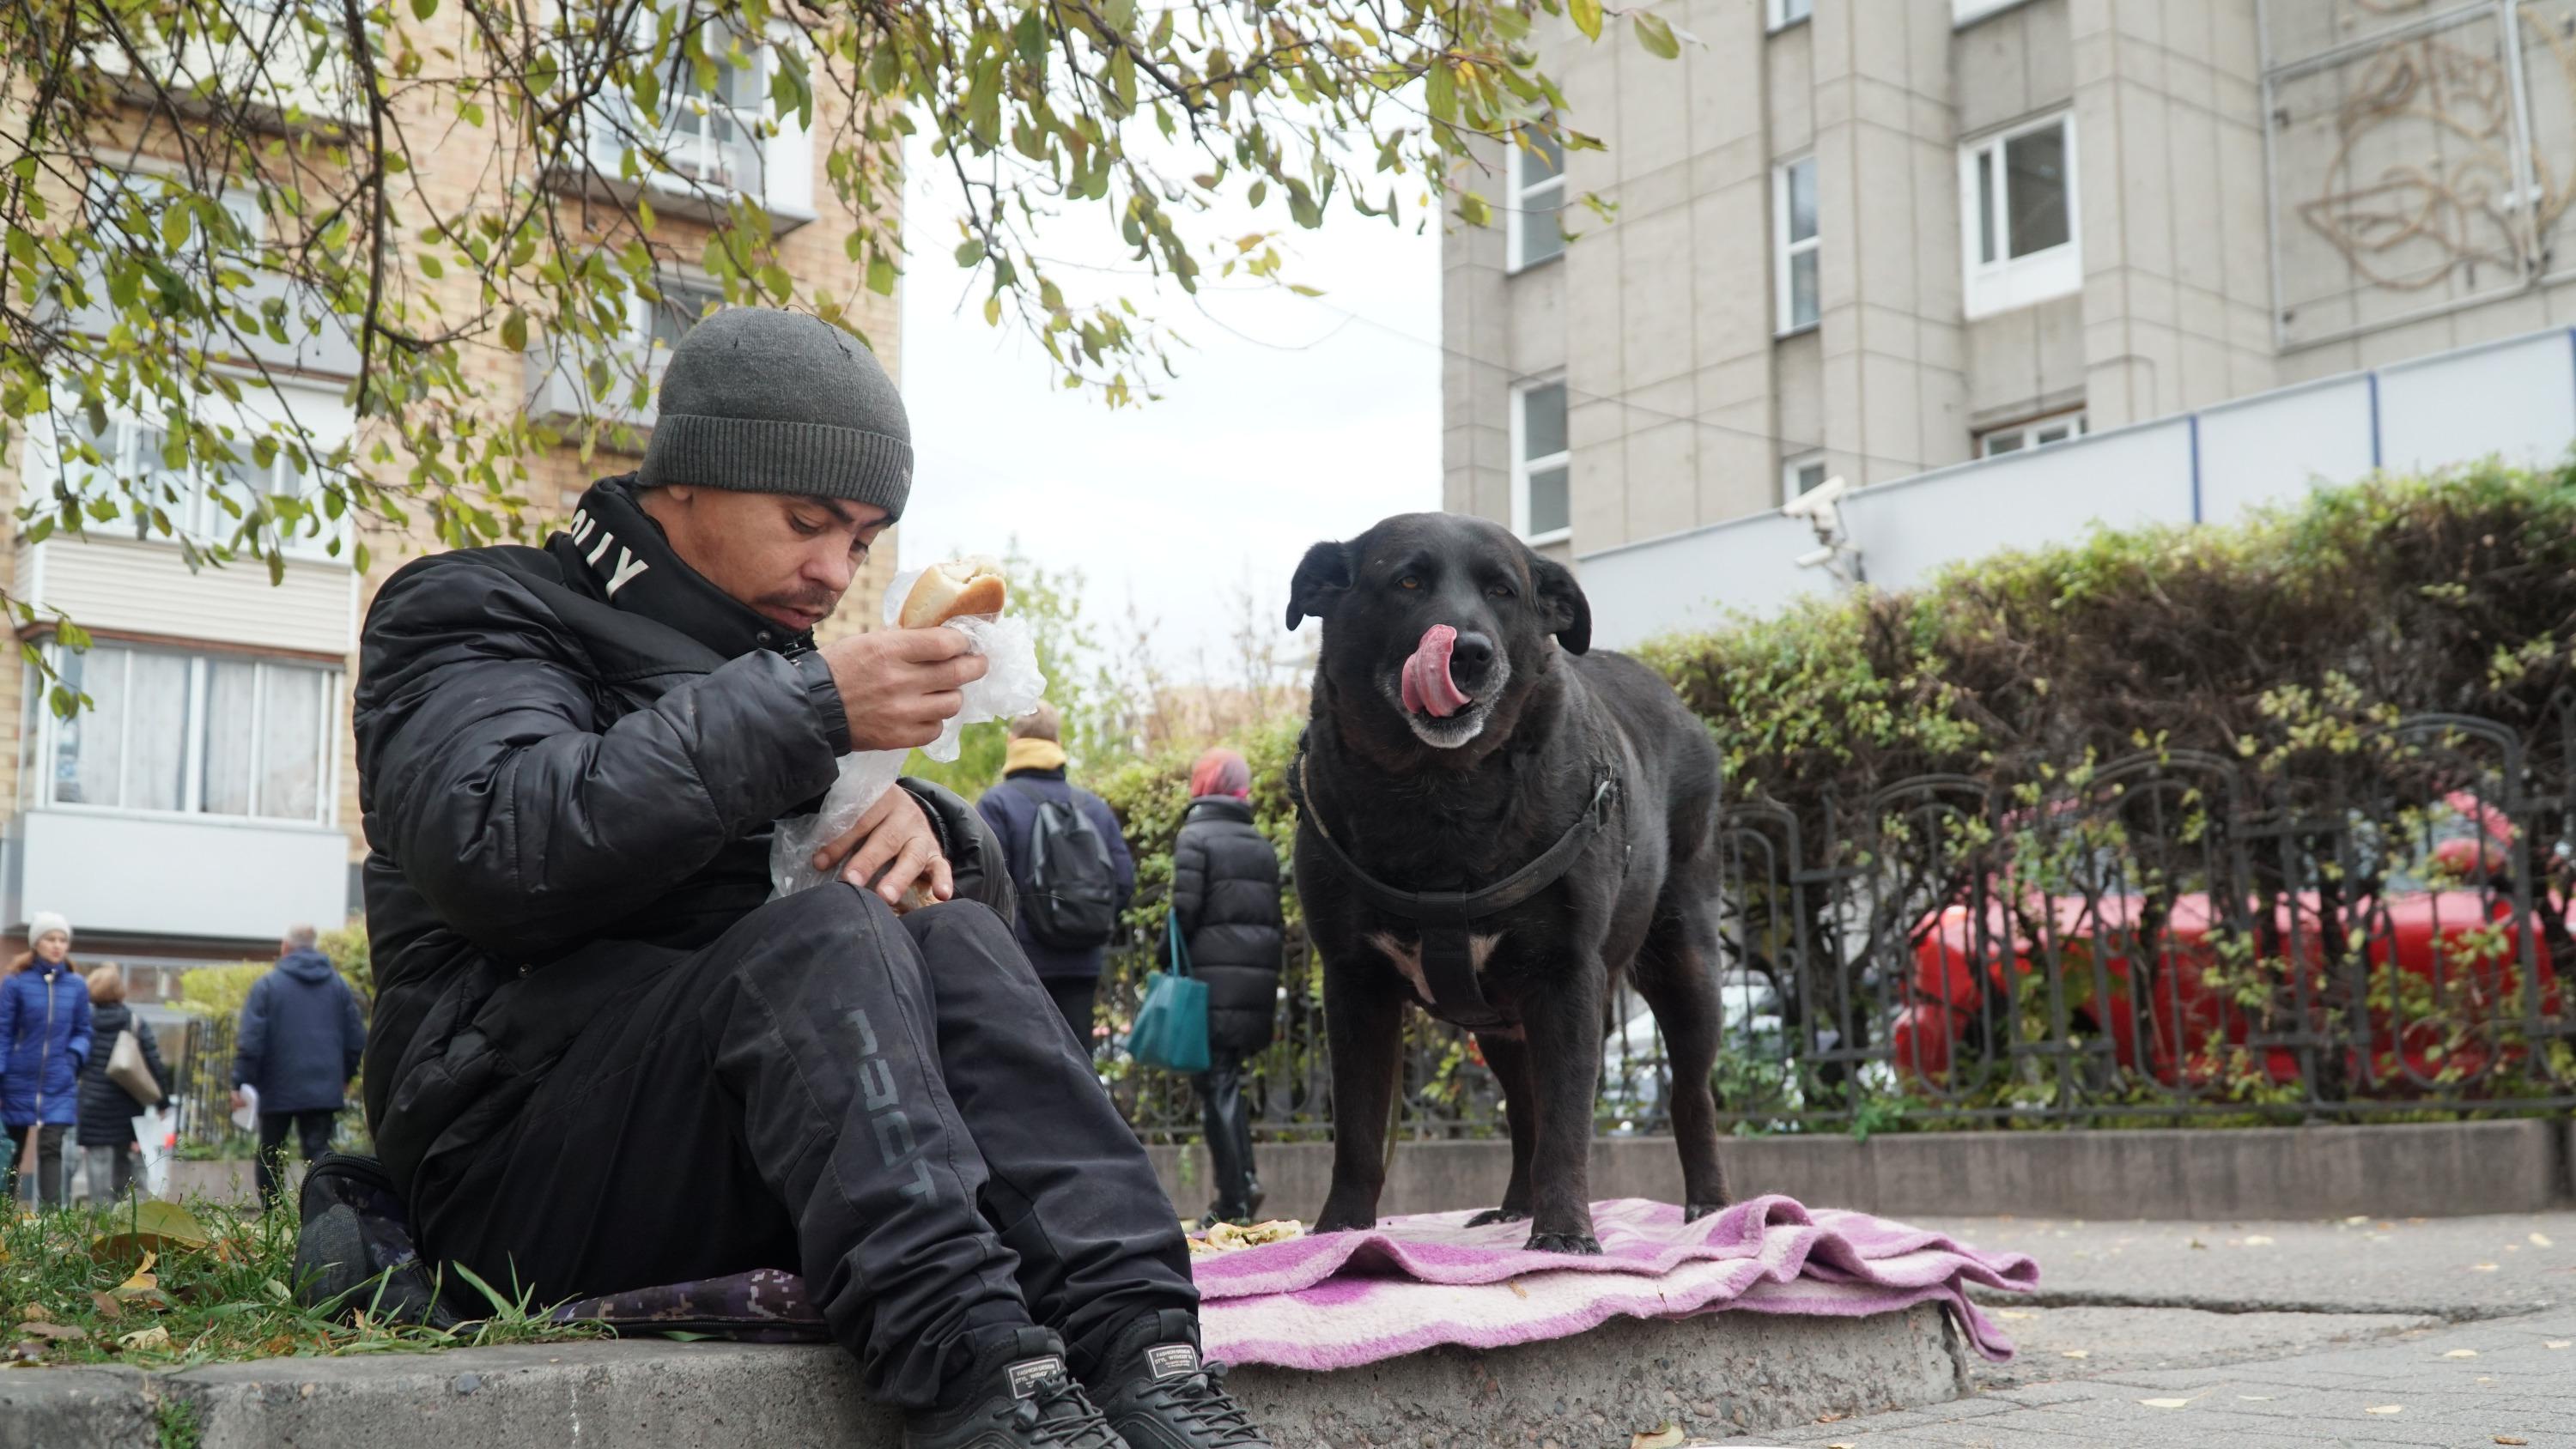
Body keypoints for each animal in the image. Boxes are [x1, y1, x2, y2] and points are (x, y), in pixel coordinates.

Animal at [1288, 514, 1731, 1251]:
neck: (1438, 792)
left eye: (1503, 591)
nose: (1468, 653)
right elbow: (1357, 1127)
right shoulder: (1353, 983)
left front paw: (1566, 1234)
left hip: (1685, 962)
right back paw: (1515, 1205)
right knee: (1524, 1107)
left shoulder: (1565, 979)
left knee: (1688, 1093)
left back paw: (1712, 1207)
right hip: (1497, 1022)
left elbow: (1567, 1125)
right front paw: (1341, 1231)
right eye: (1407, 582)